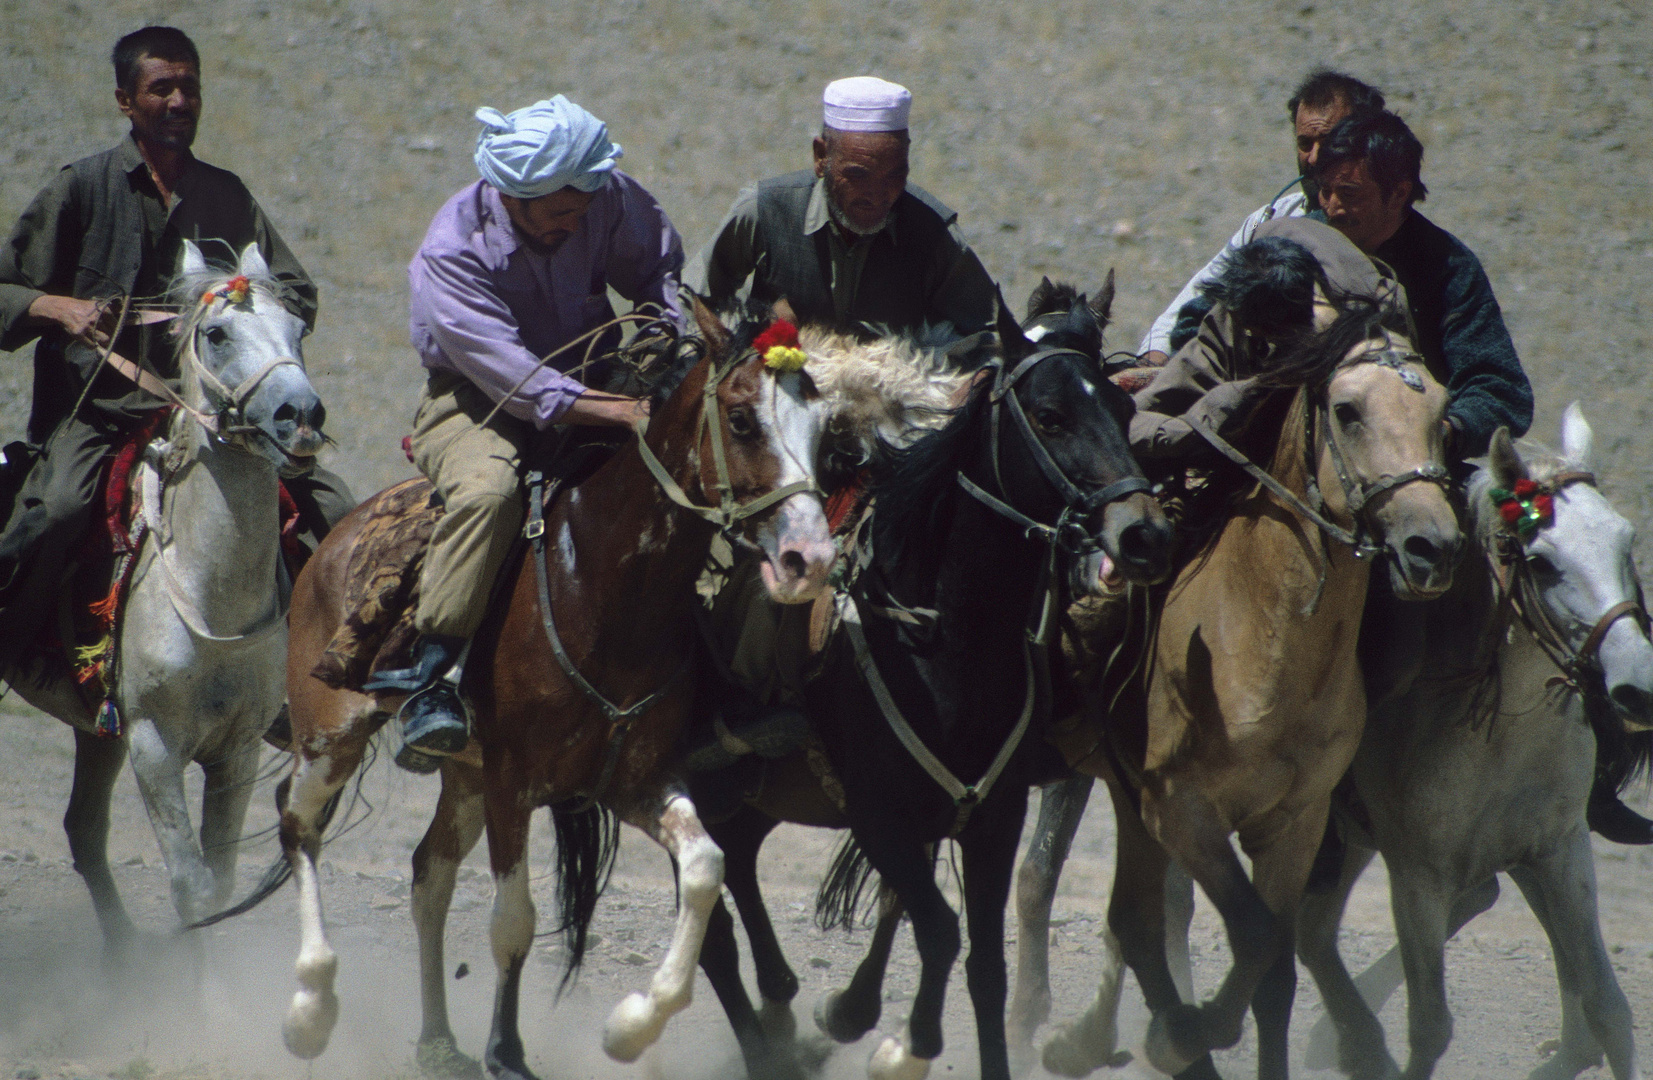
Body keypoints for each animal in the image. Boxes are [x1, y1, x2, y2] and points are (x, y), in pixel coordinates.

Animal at [238, 299, 833, 1071]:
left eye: (821, 424)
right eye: (740, 420)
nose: (808, 558)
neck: (603, 589)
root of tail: (331, 540)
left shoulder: (635, 780)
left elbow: (705, 868)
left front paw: (630, 1026)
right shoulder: (513, 783)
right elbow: (513, 922)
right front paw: (507, 1051)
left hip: (461, 775)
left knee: (428, 872)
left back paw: (437, 1041)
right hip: (331, 733)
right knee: (297, 820)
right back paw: (310, 1009)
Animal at [690, 277, 1170, 1078]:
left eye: (1123, 408)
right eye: (1050, 416)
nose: (1142, 533)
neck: (943, 637)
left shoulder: (994, 816)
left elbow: (983, 965)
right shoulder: (879, 815)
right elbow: (939, 930)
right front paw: (884, 1028)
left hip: (758, 789)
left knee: (742, 864)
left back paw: (783, 1007)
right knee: (717, 921)